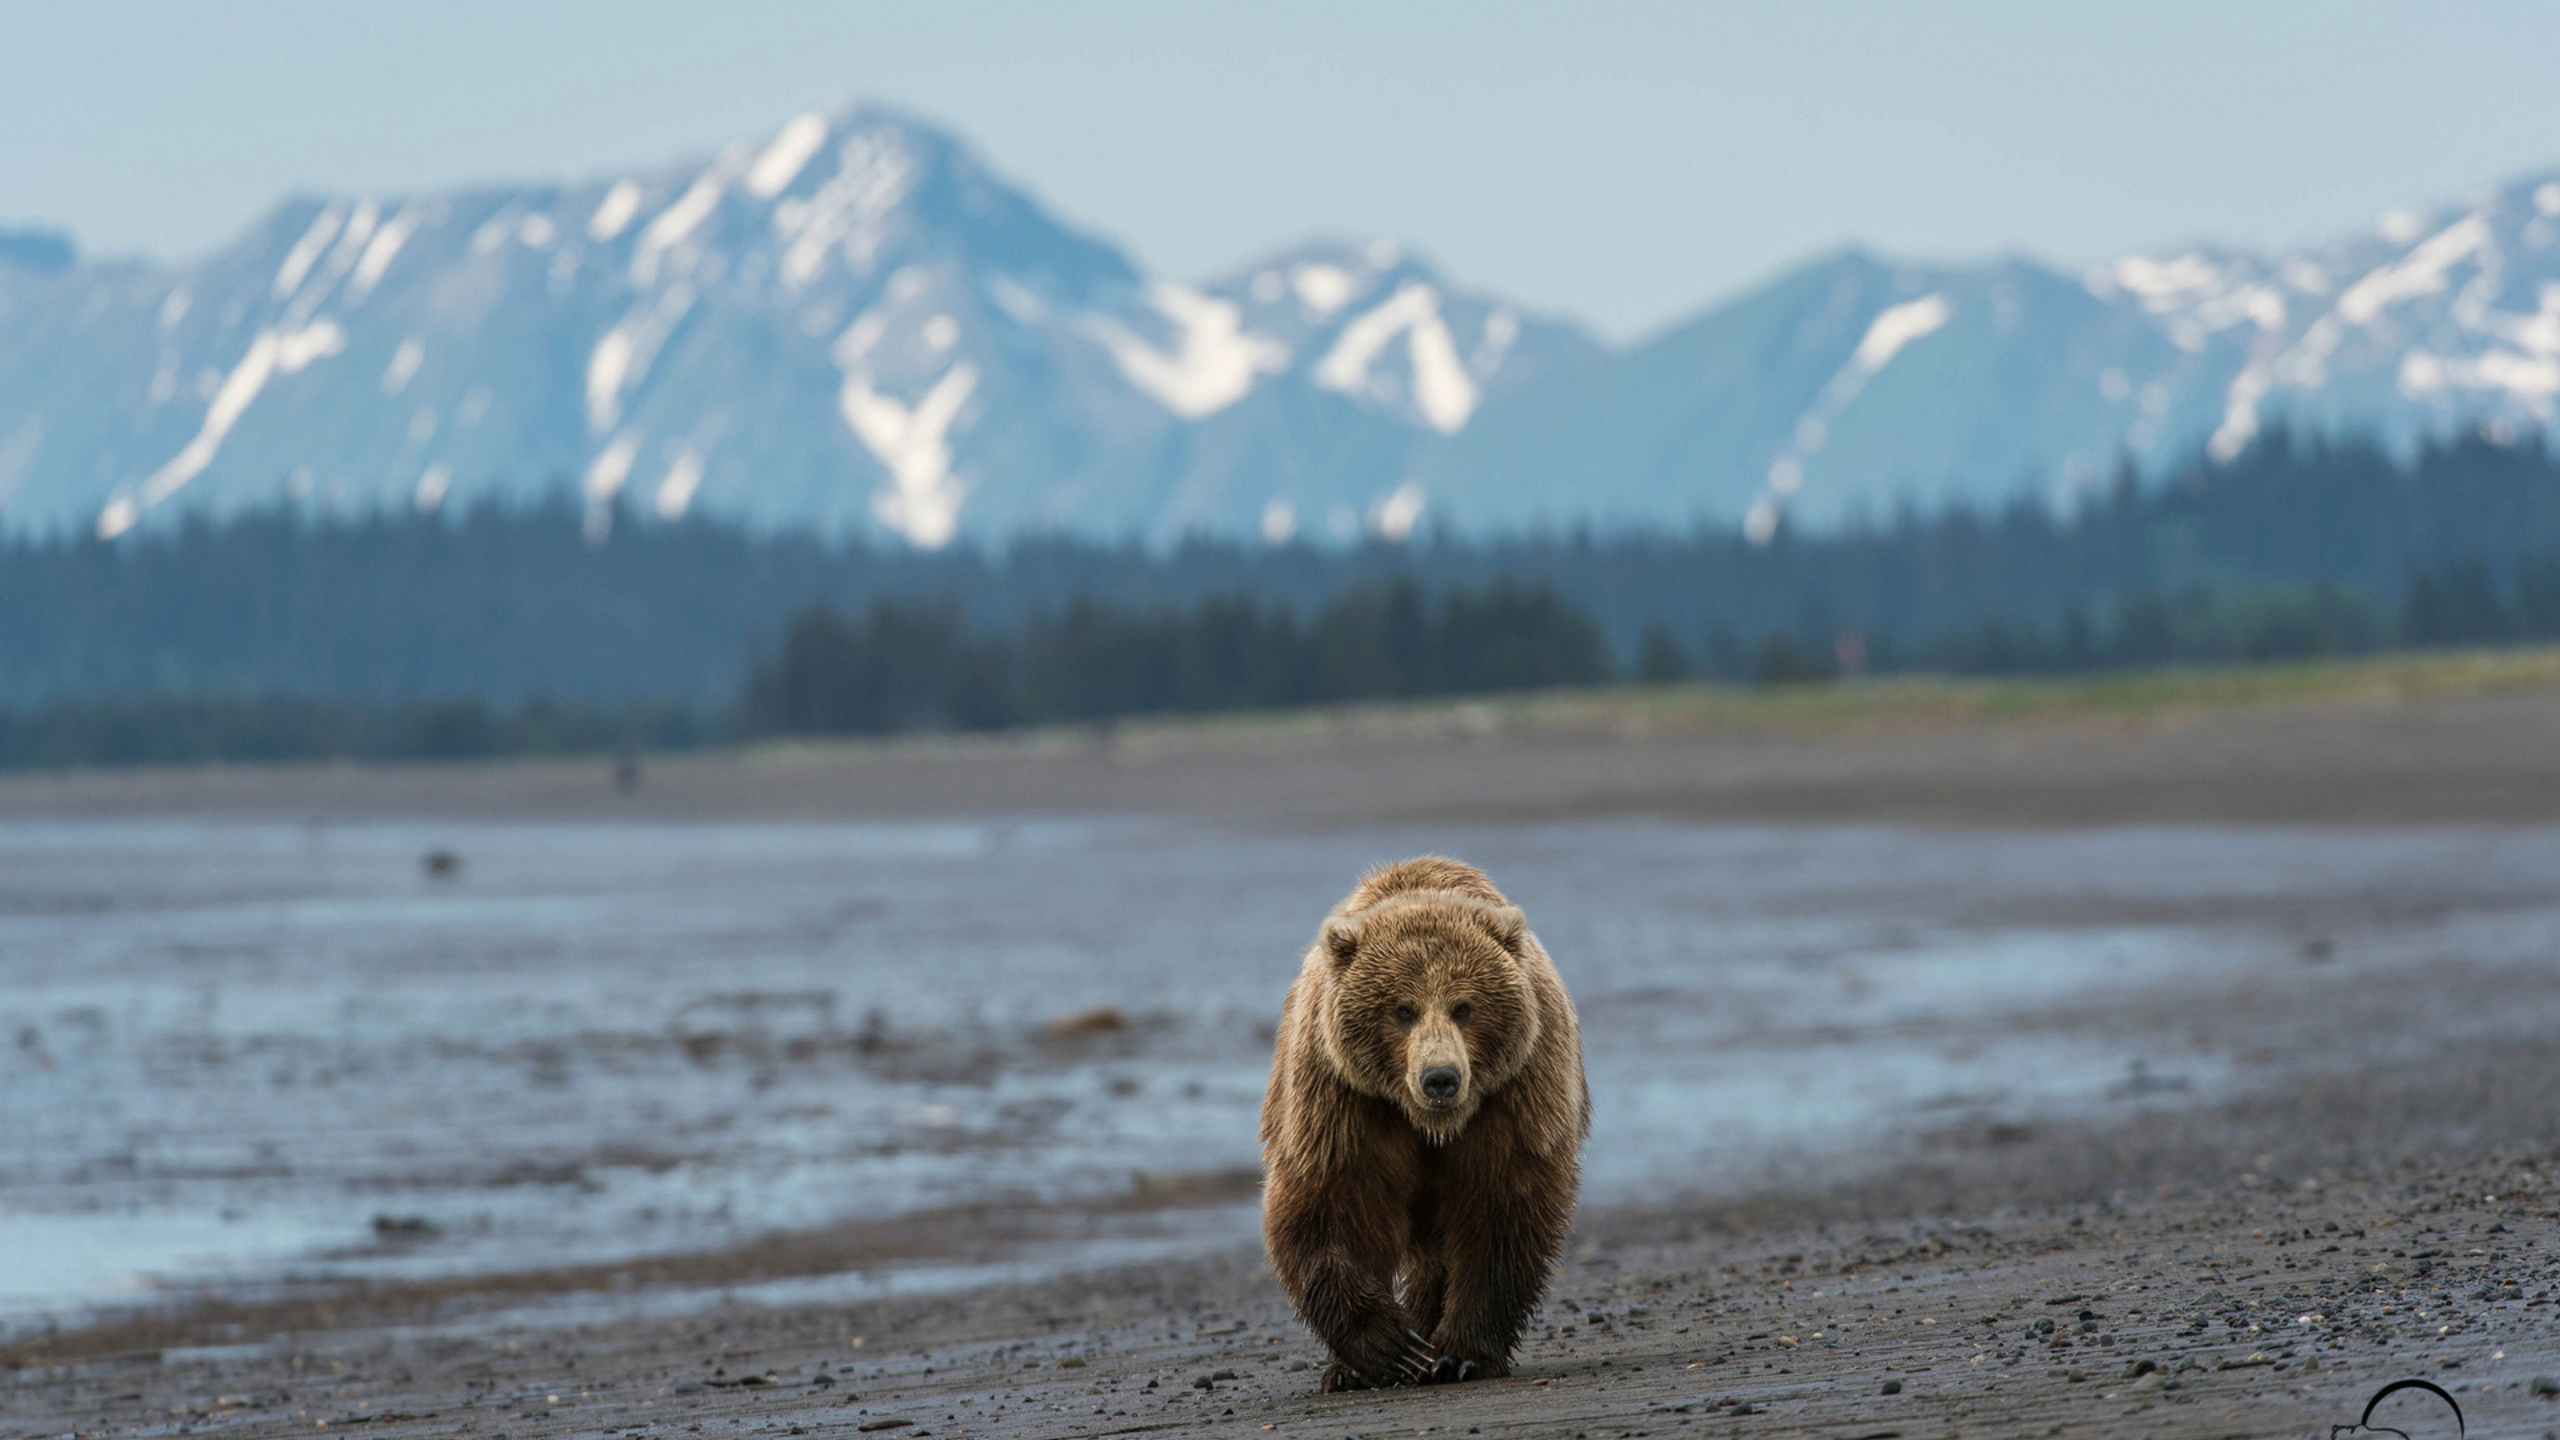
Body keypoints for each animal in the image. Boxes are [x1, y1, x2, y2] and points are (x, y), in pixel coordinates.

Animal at [1254, 855, 1587, 1383]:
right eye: (1402, 1009)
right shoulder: (1342, 1097)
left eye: (1464, 1006)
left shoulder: (1514, 1093)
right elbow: (1329, 1203)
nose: (1440, 1078)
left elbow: (1500, 1207)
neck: (1430, 1124)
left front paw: (1459, 1352)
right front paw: (1388, 1347)